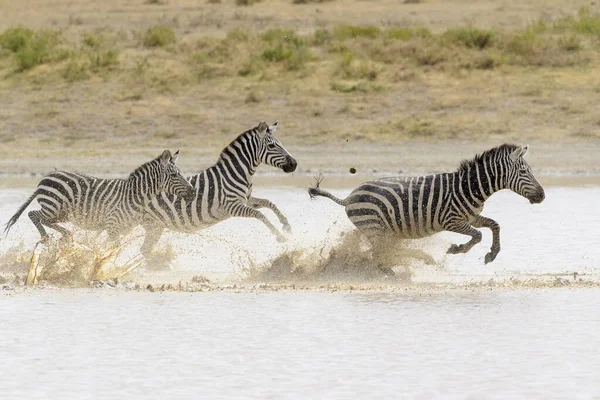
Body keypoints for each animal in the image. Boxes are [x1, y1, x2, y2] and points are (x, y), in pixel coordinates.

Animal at [4, 149, 195, 244]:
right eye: (174, 175)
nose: (193, 191)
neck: (135, 196)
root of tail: (45, 178)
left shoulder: (120, 230)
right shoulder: (112, 226)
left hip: (61, 213)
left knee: (43, 219)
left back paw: (65, 235)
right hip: (54, 207)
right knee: (34, 215)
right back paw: (47, 238)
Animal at [141, 120, 300, 260]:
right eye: (272, 146)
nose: (294, 164)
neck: (237, 173)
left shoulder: (246, 199)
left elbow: (269, 203)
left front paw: (286, 225)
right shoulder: (232, 206)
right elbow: (259, 214)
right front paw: (279, 236)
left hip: (155, 228)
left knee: (145, 250)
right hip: (151, 226)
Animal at [308, 144, 548, 266]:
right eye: (525, 171)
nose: (543, 196)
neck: (470, 187)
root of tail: (349, 197)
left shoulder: (471, 217)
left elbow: (494, 225)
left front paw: (493, 253)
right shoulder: (451, 220)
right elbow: (478, 235)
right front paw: (457, 249)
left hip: (381, 230)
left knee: (383, 253)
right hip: (374, 227)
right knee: (379, 257)